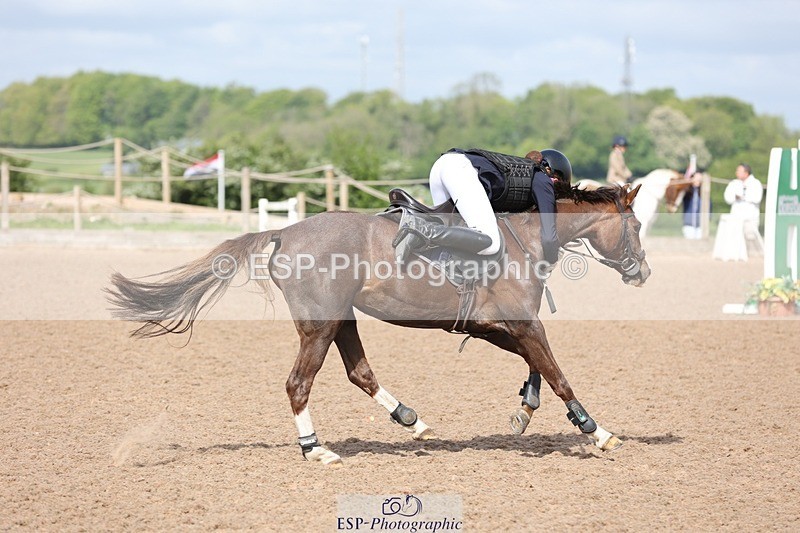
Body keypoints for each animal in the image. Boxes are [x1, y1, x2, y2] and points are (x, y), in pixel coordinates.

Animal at [105, 183, 651, 465]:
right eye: (638, 224)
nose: (642, 271)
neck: (525, 235)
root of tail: (285, 231)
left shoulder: (496, 325)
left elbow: (535, 365)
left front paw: (524, 409)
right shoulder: (520, 322)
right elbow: (558, 373)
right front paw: (597, 431)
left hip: (341, 319)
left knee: (359, 372)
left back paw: (412, 420)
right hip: (320, 325)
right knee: (299, 383)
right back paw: (315, 450)